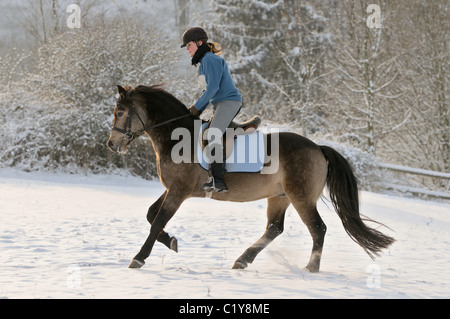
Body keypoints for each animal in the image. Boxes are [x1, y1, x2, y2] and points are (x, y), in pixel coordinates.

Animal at [106, 85, 394, 272]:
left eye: (120, 113)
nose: (111, 144)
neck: (176, 137)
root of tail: (318, 148)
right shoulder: (173, 189)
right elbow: (150, 214)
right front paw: (172, 242)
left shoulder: (179, 192)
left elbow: (156, 221)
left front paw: (139, 258)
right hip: (279, 197)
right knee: (274, 228)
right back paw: (243, 260)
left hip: (301, 197)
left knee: (317, 228)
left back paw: (310, 269)